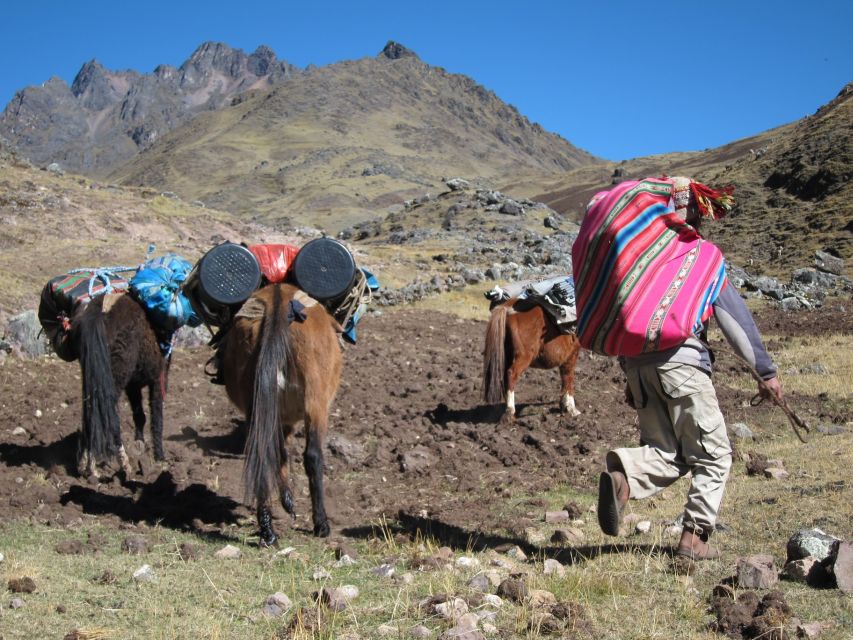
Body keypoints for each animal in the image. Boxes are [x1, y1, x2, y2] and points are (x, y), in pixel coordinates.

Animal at [220, 284, 342, 544]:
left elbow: (280, 453)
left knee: (262, 453)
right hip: (315, 402)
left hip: (257, 403)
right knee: (313, 456)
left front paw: (287, 500)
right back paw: (321, 524)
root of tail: (279, 302)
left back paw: (267, 529)